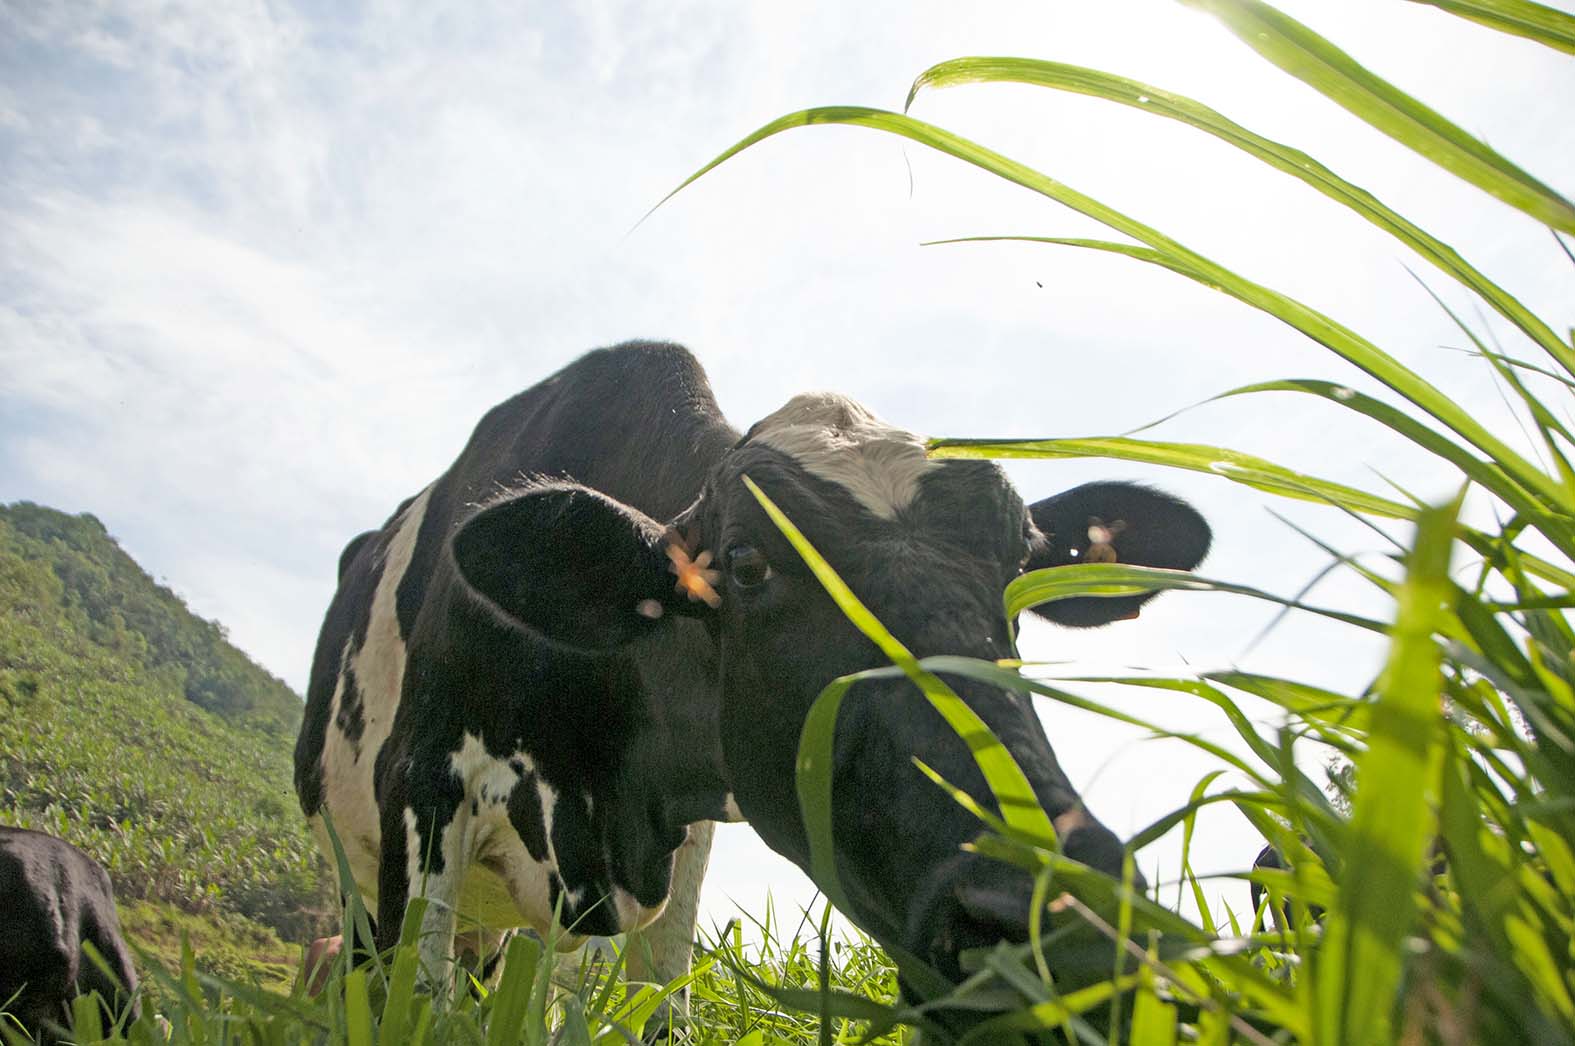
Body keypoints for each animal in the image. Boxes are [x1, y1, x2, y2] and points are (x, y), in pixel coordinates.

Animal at [292, 341, 1211, 1018]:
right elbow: (413, 1003)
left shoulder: (679, 843)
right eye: (744, 565)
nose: (1064, 920)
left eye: (1020, 569)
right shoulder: (421, 780)